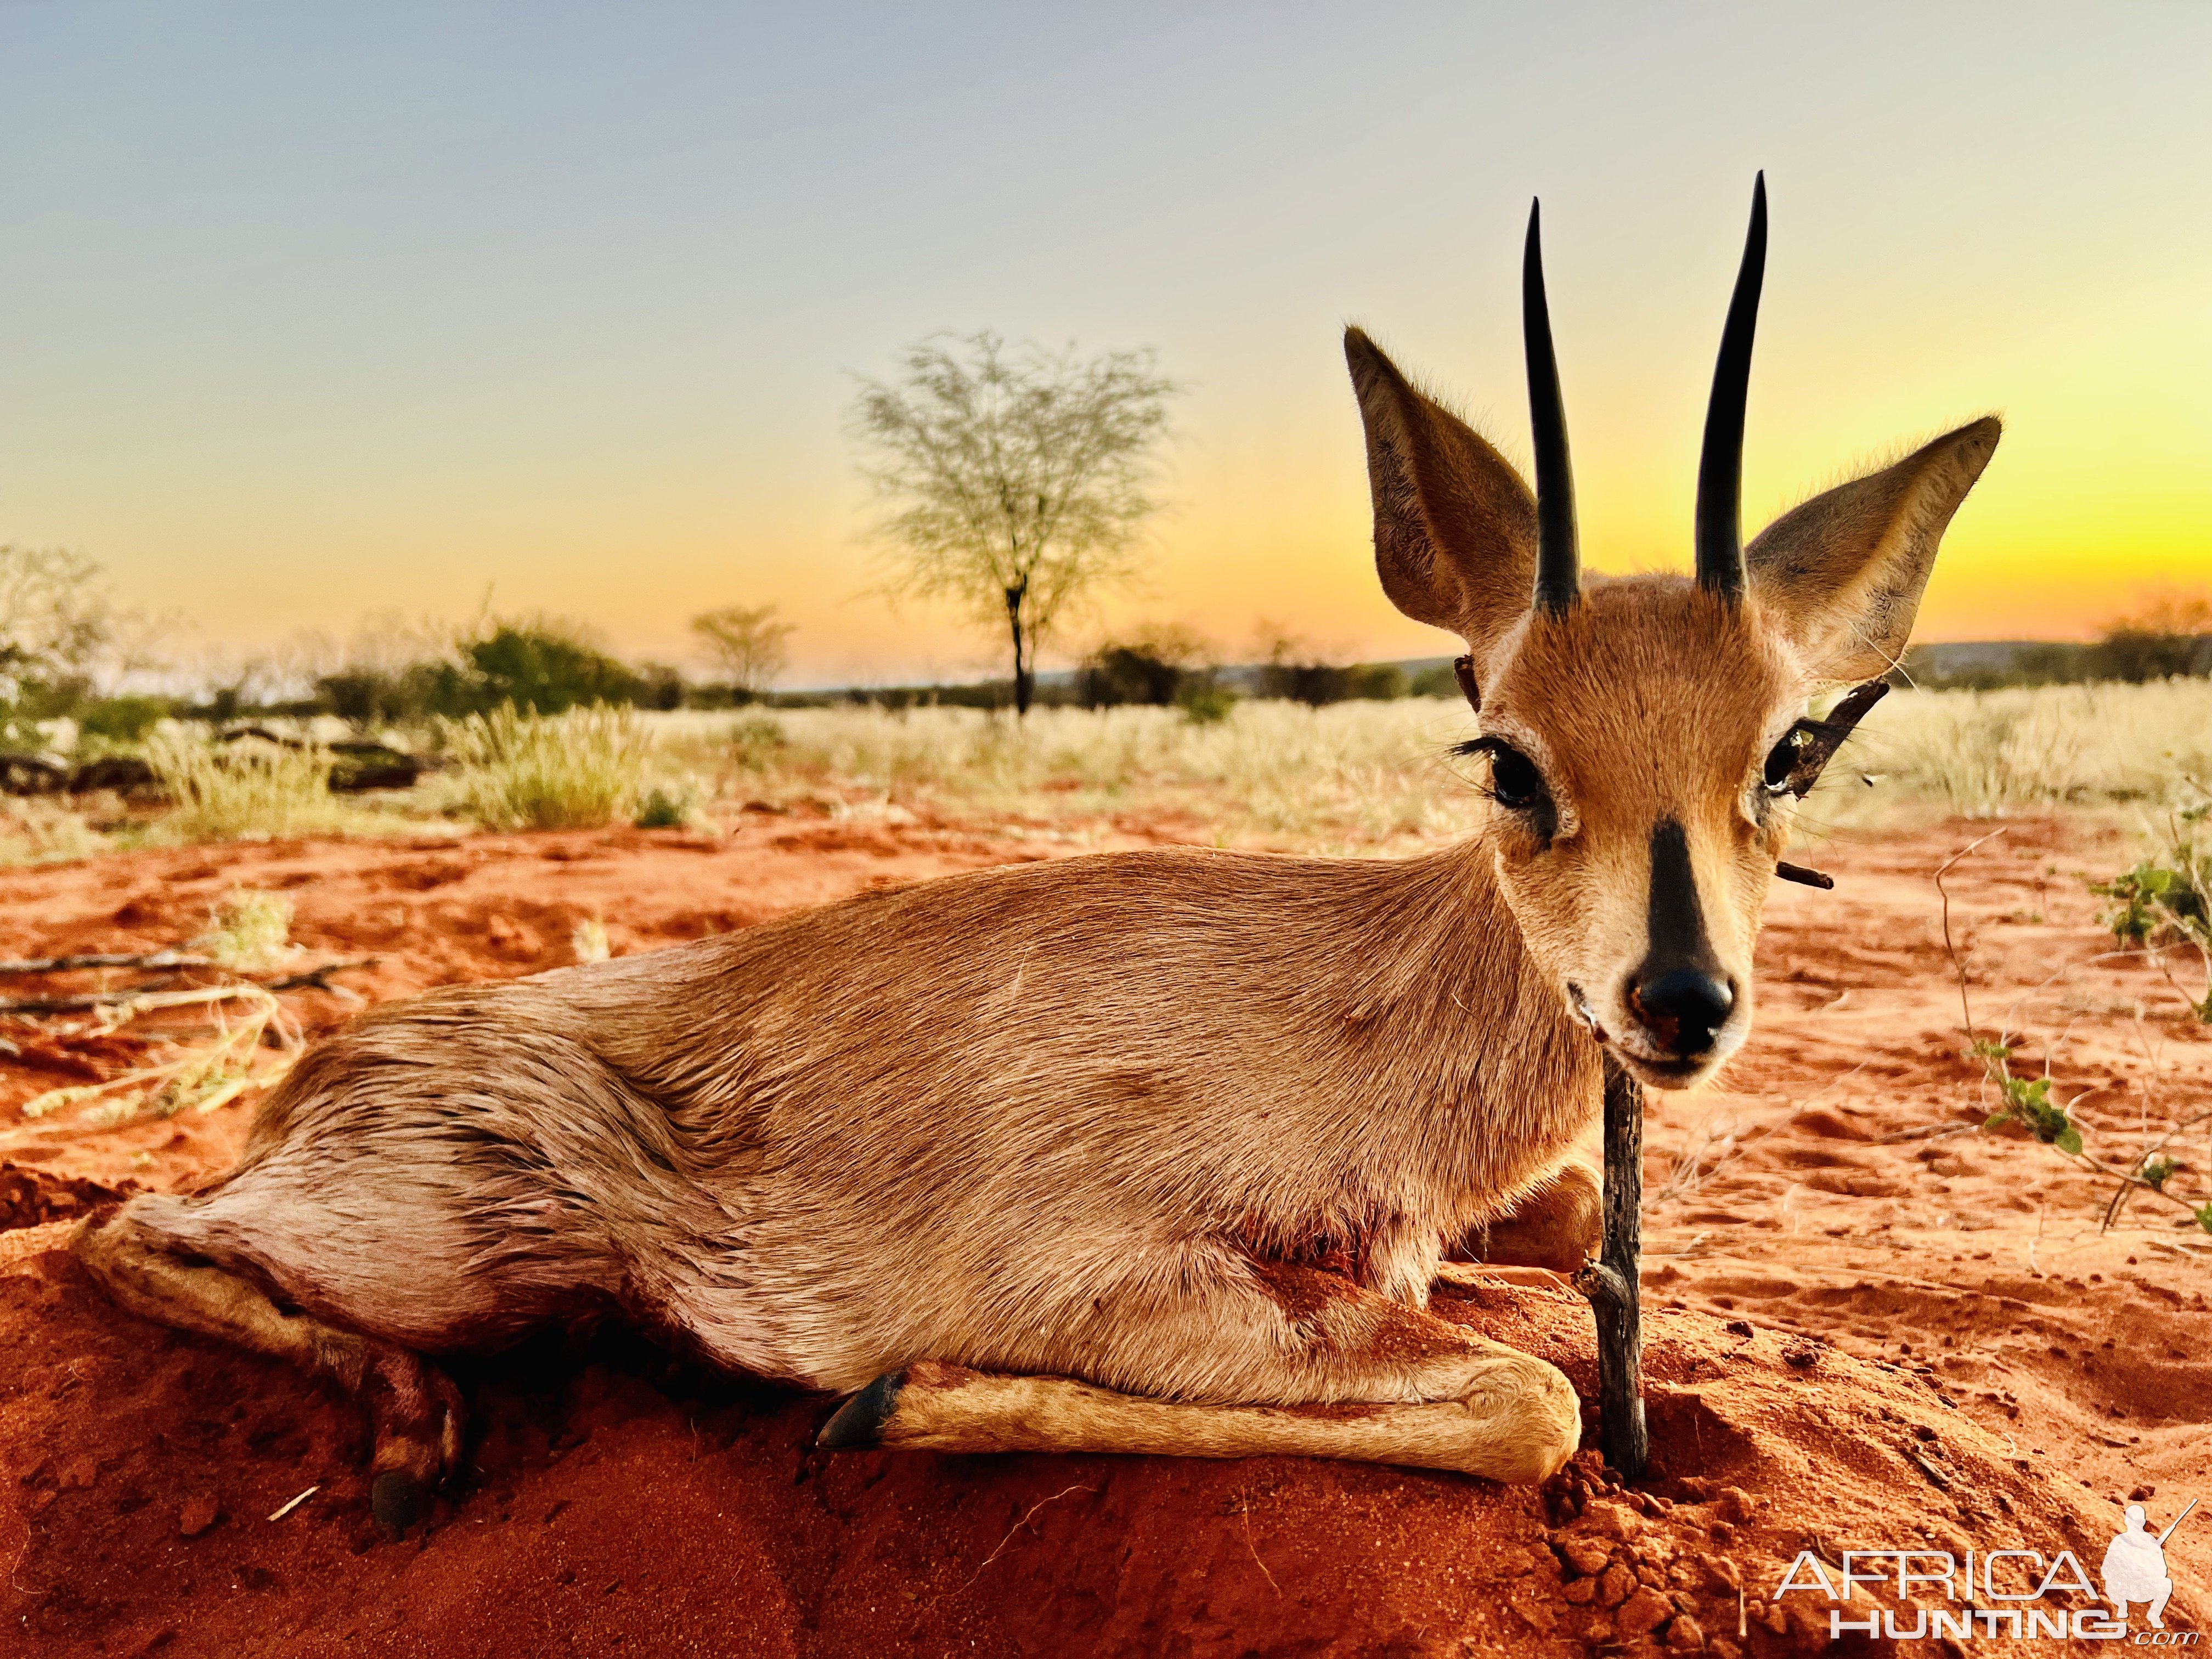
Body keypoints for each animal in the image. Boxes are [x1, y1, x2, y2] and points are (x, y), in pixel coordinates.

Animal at [78, 181, 1999, 1531]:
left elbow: (1573, 1243)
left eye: (1790, 754)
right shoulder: (1098, 1269)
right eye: (1509, 759)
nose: (1680, 999)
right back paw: (415, 1443)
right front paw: (886, 1399)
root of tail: (318, 1064)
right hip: (454, 1254)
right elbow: (1536, 1404)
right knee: (116, 1223)